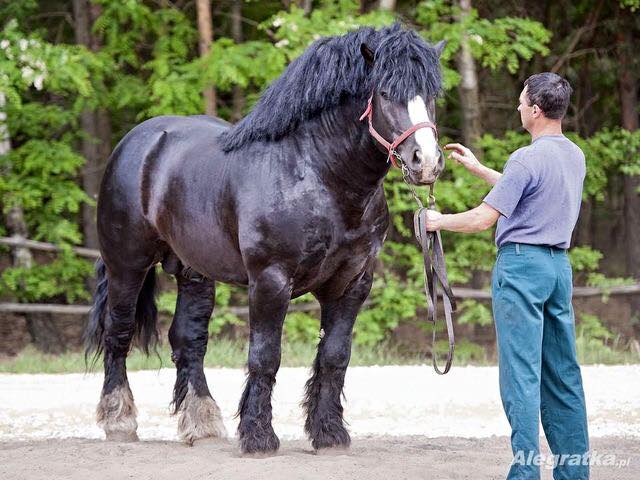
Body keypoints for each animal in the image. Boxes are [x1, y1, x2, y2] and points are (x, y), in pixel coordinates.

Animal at [85, 24, 444, 454]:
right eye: (387, 92)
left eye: (433, 94)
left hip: (193, 272)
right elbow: (265, 356)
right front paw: (258, 436)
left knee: (188, 340)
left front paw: (329, 433)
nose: (426, 161)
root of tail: (136, 144)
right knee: (118, 332)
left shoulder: (352, 283)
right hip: (127, 265)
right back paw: (119, 420)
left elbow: (335, 356)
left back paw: (202, 424)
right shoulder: (271, 281)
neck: (318, 175)